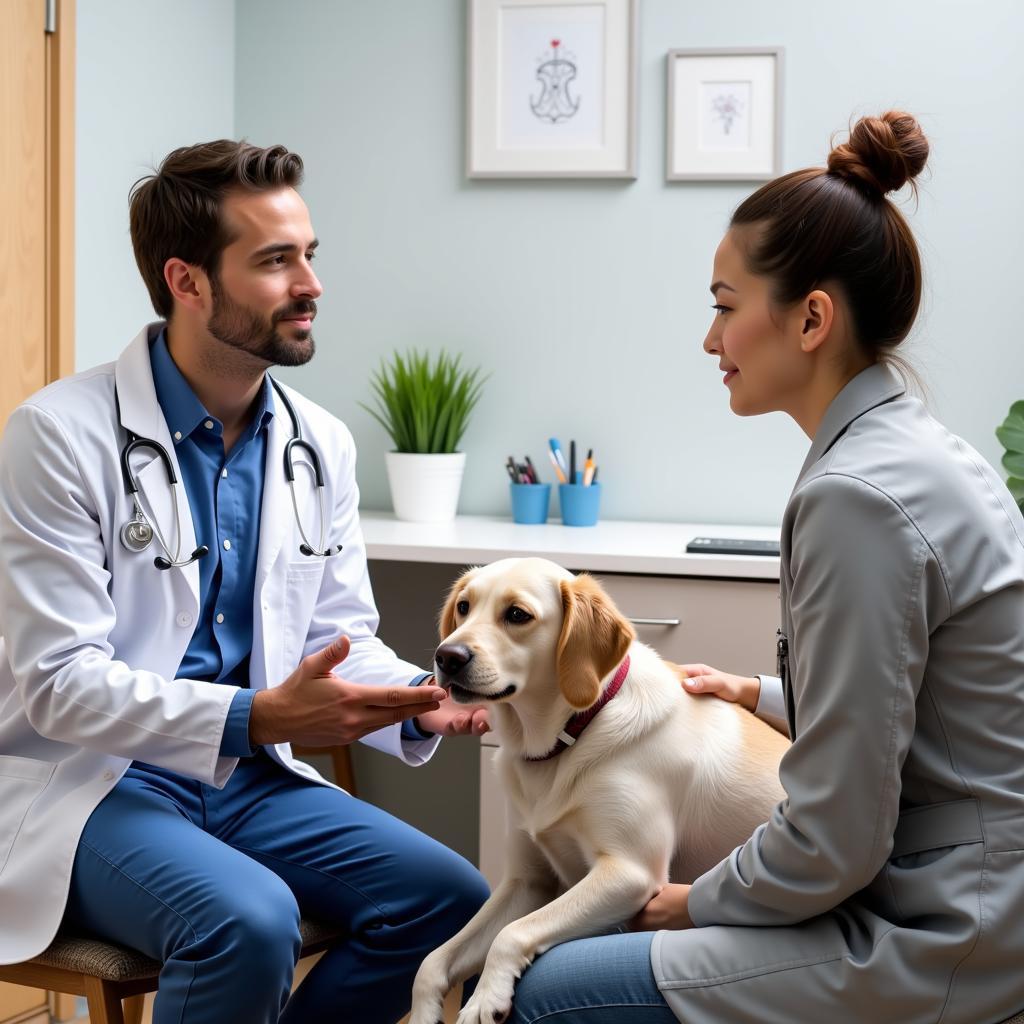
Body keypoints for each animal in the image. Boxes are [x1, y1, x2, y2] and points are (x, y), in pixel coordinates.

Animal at [411, 561, 786, 1024]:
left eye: (517, 615)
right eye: (464, 607)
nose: (447, 656)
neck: (574, 730)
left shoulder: (629, 873)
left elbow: (512, 934)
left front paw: (484, 998)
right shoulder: (527, 881)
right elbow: (432, 962)